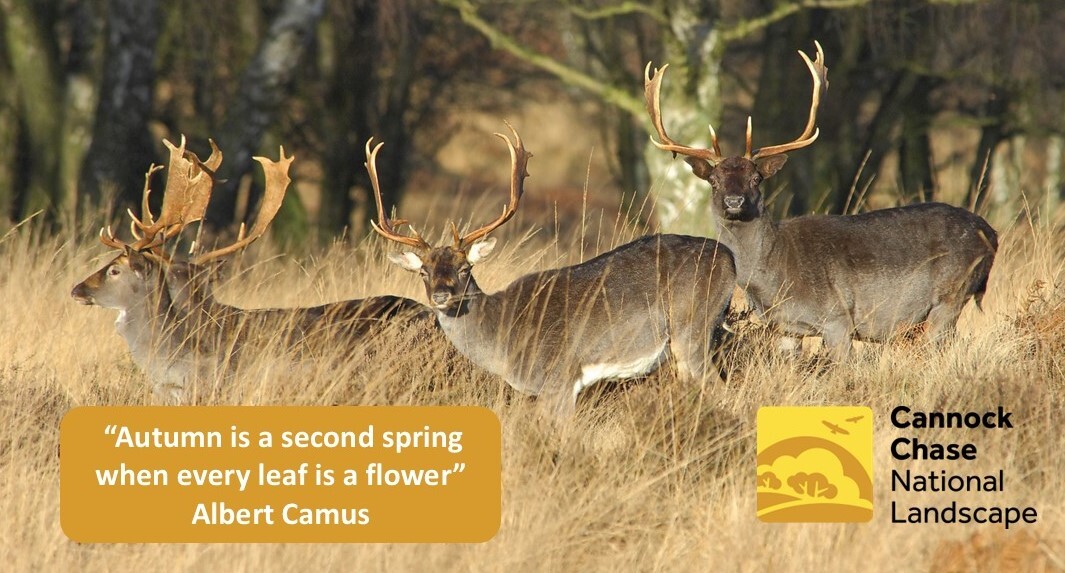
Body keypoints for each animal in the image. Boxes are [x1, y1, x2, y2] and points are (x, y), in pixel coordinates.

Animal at [366, 122, 732, 417]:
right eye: (423, 271)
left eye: (464, 267)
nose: (442, 295)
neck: (502, 337)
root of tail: (730, 258)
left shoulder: (559, 376)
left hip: (691, 328)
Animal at [643, 42, 1001, 359]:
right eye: (714, 181)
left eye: (756, 178)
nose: (733, 201)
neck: (773, 278)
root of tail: (992, 234)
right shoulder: (786, 329)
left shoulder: (838, 318)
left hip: (950, 295)